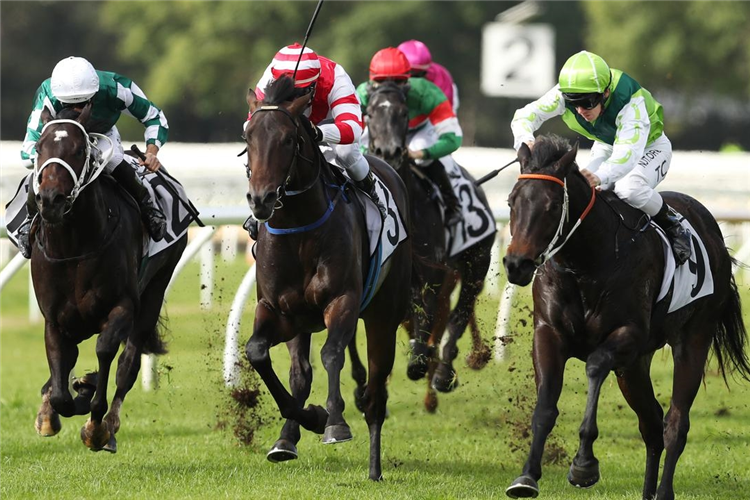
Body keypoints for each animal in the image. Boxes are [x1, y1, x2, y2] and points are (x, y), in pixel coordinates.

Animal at [30, 103, 188, 452]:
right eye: (38, 148)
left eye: (78, 149)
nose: (50, 200)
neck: (74, 247)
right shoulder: (54, 319)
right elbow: (60, 387)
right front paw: (61, 402)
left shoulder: (123, 305)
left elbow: (105, 351)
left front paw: (94, 422)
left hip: (156, 287)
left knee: (128, 364)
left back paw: (108, 423)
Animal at [244, 75, 412, 480]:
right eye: (248, 136)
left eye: (288, 139)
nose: (261, 199)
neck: (300, 229)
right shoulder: (278, 310)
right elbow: (259, 354)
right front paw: (309, 420)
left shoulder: (343, 301)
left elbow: (332, 354)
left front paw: (334, 421)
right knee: (301, 372)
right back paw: (287, 439)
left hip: (383, 316)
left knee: (377, 391)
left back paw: (374, 467)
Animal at [362, 81, 494, 406]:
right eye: (369, 113)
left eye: (403, 112)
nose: (389, 151)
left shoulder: (434, 272)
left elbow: (429, 312)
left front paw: (420, 361)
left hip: (476, 264)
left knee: (460, 313)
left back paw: (444, 370)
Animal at [502, 134, 750, 500]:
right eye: (511, 202)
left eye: (551, 207)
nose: (516, 264)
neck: (587, 262)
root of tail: (712, 230)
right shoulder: (548, 333)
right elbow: (545, 404)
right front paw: (527, 476)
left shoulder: (627, 334)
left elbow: (594, 365)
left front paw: (584, 464)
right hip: (634, 366)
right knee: (651, 423)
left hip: (693, 339)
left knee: (675, 423)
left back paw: (663, 491)